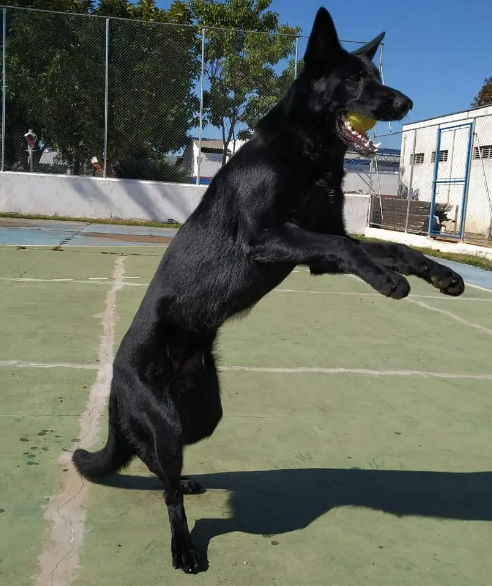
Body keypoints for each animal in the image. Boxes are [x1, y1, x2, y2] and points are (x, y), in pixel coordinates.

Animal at [71, 6, 464, 572]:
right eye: (355, 79)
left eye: (377, 74)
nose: (406, 104)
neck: (307, 150)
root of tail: (117, 383)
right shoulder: (270, 236)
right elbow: (351, 249)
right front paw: (389, 281)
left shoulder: (319, 246)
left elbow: (385, 247)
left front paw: (439, 273)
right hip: (165, 417)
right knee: (164, 486)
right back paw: (183, 544)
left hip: (201, 413)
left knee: (158, 462)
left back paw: (179, 481)